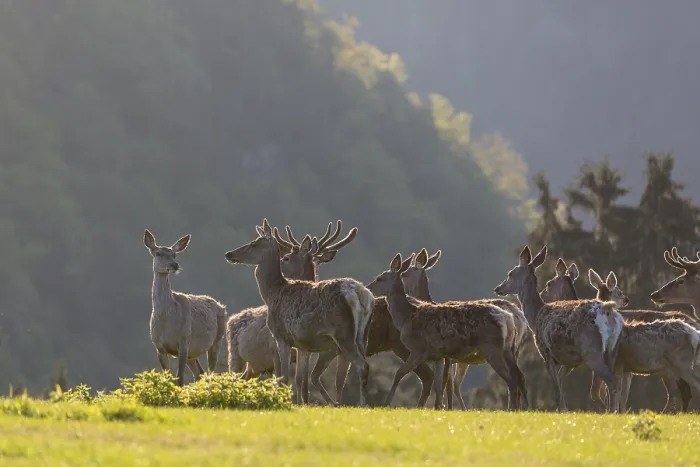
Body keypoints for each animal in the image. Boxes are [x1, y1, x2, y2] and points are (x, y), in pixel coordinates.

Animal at [143, 230, 227, 386]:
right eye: (158, 253)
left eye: (174, 255)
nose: (174, 265)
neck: (166, 318)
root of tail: (221, 306)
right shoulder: (159, 347)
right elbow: (168, 379)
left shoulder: (183, 341)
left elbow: (180, 380)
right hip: (192, 353)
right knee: (200, 373)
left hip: (216, 340)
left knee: (211, 373)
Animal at [224, 219, 374, 406]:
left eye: (254, 243)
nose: (229, 253)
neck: (273, 294)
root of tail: (360, 293)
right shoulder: (303, 344)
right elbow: (299, 378)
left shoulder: (281, 337)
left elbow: (283, 378)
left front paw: (283, 402)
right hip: (363, 335)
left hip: (343, 333)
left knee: (361, 365)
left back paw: (362, 404)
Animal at [367, 253, 527, 410]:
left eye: (379, 278)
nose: (368, 288)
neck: (407, 318)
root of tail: (509, 317)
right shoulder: (438, 355)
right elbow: (439, 384)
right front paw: (440, 407)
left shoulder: (419, 349)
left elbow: (399, 373)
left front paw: (386, 403)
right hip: (509, 349)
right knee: (518, 377)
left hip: (491, 347)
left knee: (511, 380)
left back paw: (512, 409)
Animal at [493, 245, 623, 412]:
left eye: (510, 274)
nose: (498, 288)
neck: (536, 316)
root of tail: (610, 313)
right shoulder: (568, 361)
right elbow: (560, 384)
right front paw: (564, 409)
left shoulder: (546, 352)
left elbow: (556, 388)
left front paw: (561, 409)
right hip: (612, 351)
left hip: (591, 349)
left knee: (613, 381)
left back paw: (612, 412)